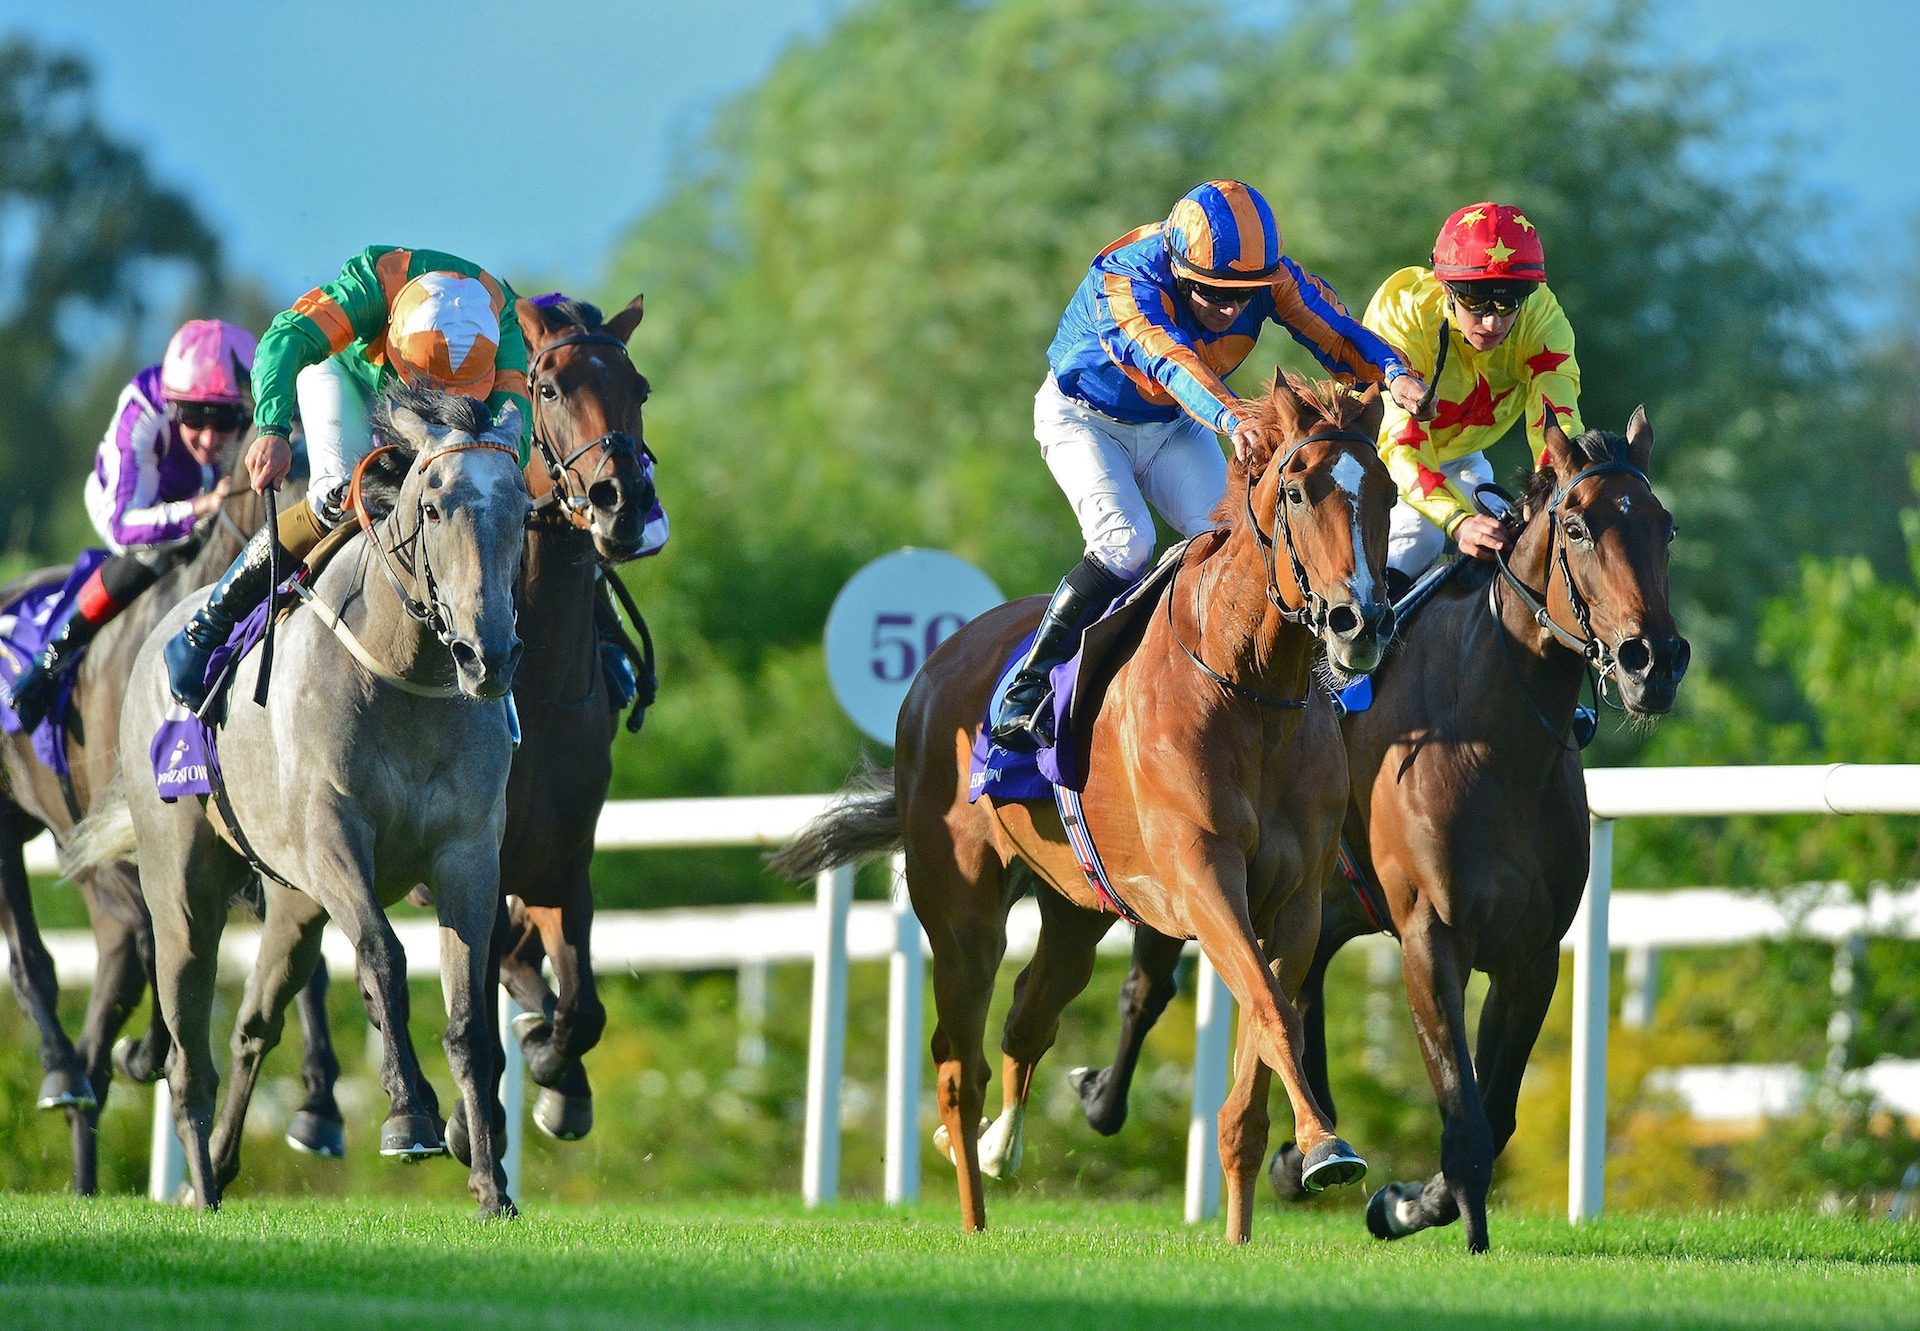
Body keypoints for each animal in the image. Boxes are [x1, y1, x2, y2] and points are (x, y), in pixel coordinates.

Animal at [1, 470, 345, 1190]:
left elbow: (310, 965)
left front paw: (319, 1107)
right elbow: (169, 942)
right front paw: (154, 1052)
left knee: (103, 1017)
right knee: (35, 962)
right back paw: (62, 1068)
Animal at [72, 384, 533, 1213]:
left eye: (521, 508)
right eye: (435, 506)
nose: (488, 655)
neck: (404, 674)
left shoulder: (468, 854)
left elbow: (470, 1019)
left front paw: (490, 1184)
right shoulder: (334, 837)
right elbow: (383, 958)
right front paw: (409, 1115)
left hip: (294, 901)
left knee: (255, 1021)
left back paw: (220, 1164)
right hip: (184, 884)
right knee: (187, 1046)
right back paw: (200, 1183)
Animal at [775, 370, 1397, 1236]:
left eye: (1390, 493)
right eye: (1298, 490)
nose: (1359, 622)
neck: (1249, 687)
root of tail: (935, 667)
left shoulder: (1295, 899)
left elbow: (1261, 1046)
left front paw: (1269, 1199)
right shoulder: (1204, 876)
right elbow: (1273, 1009)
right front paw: (1327, 1145)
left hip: (1076, 906)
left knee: (1029, 1016)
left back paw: (1000, 1147)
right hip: (961, 909)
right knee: (958, 1064)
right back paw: (972, 1207)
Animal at [1067, 411, 1681, 1252]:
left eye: (1665, 526)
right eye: (1579, 526)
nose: (1654, 659)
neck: (1495, 735)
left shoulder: (1531, 953)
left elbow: (1498, 1110)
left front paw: (1412, 1201)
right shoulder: (1430, 933)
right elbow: (1465, 1112)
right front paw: (1426, 1211)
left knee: (1299, 986)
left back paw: (1300, 1149)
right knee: (1148, 985)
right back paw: (1103, 1094)